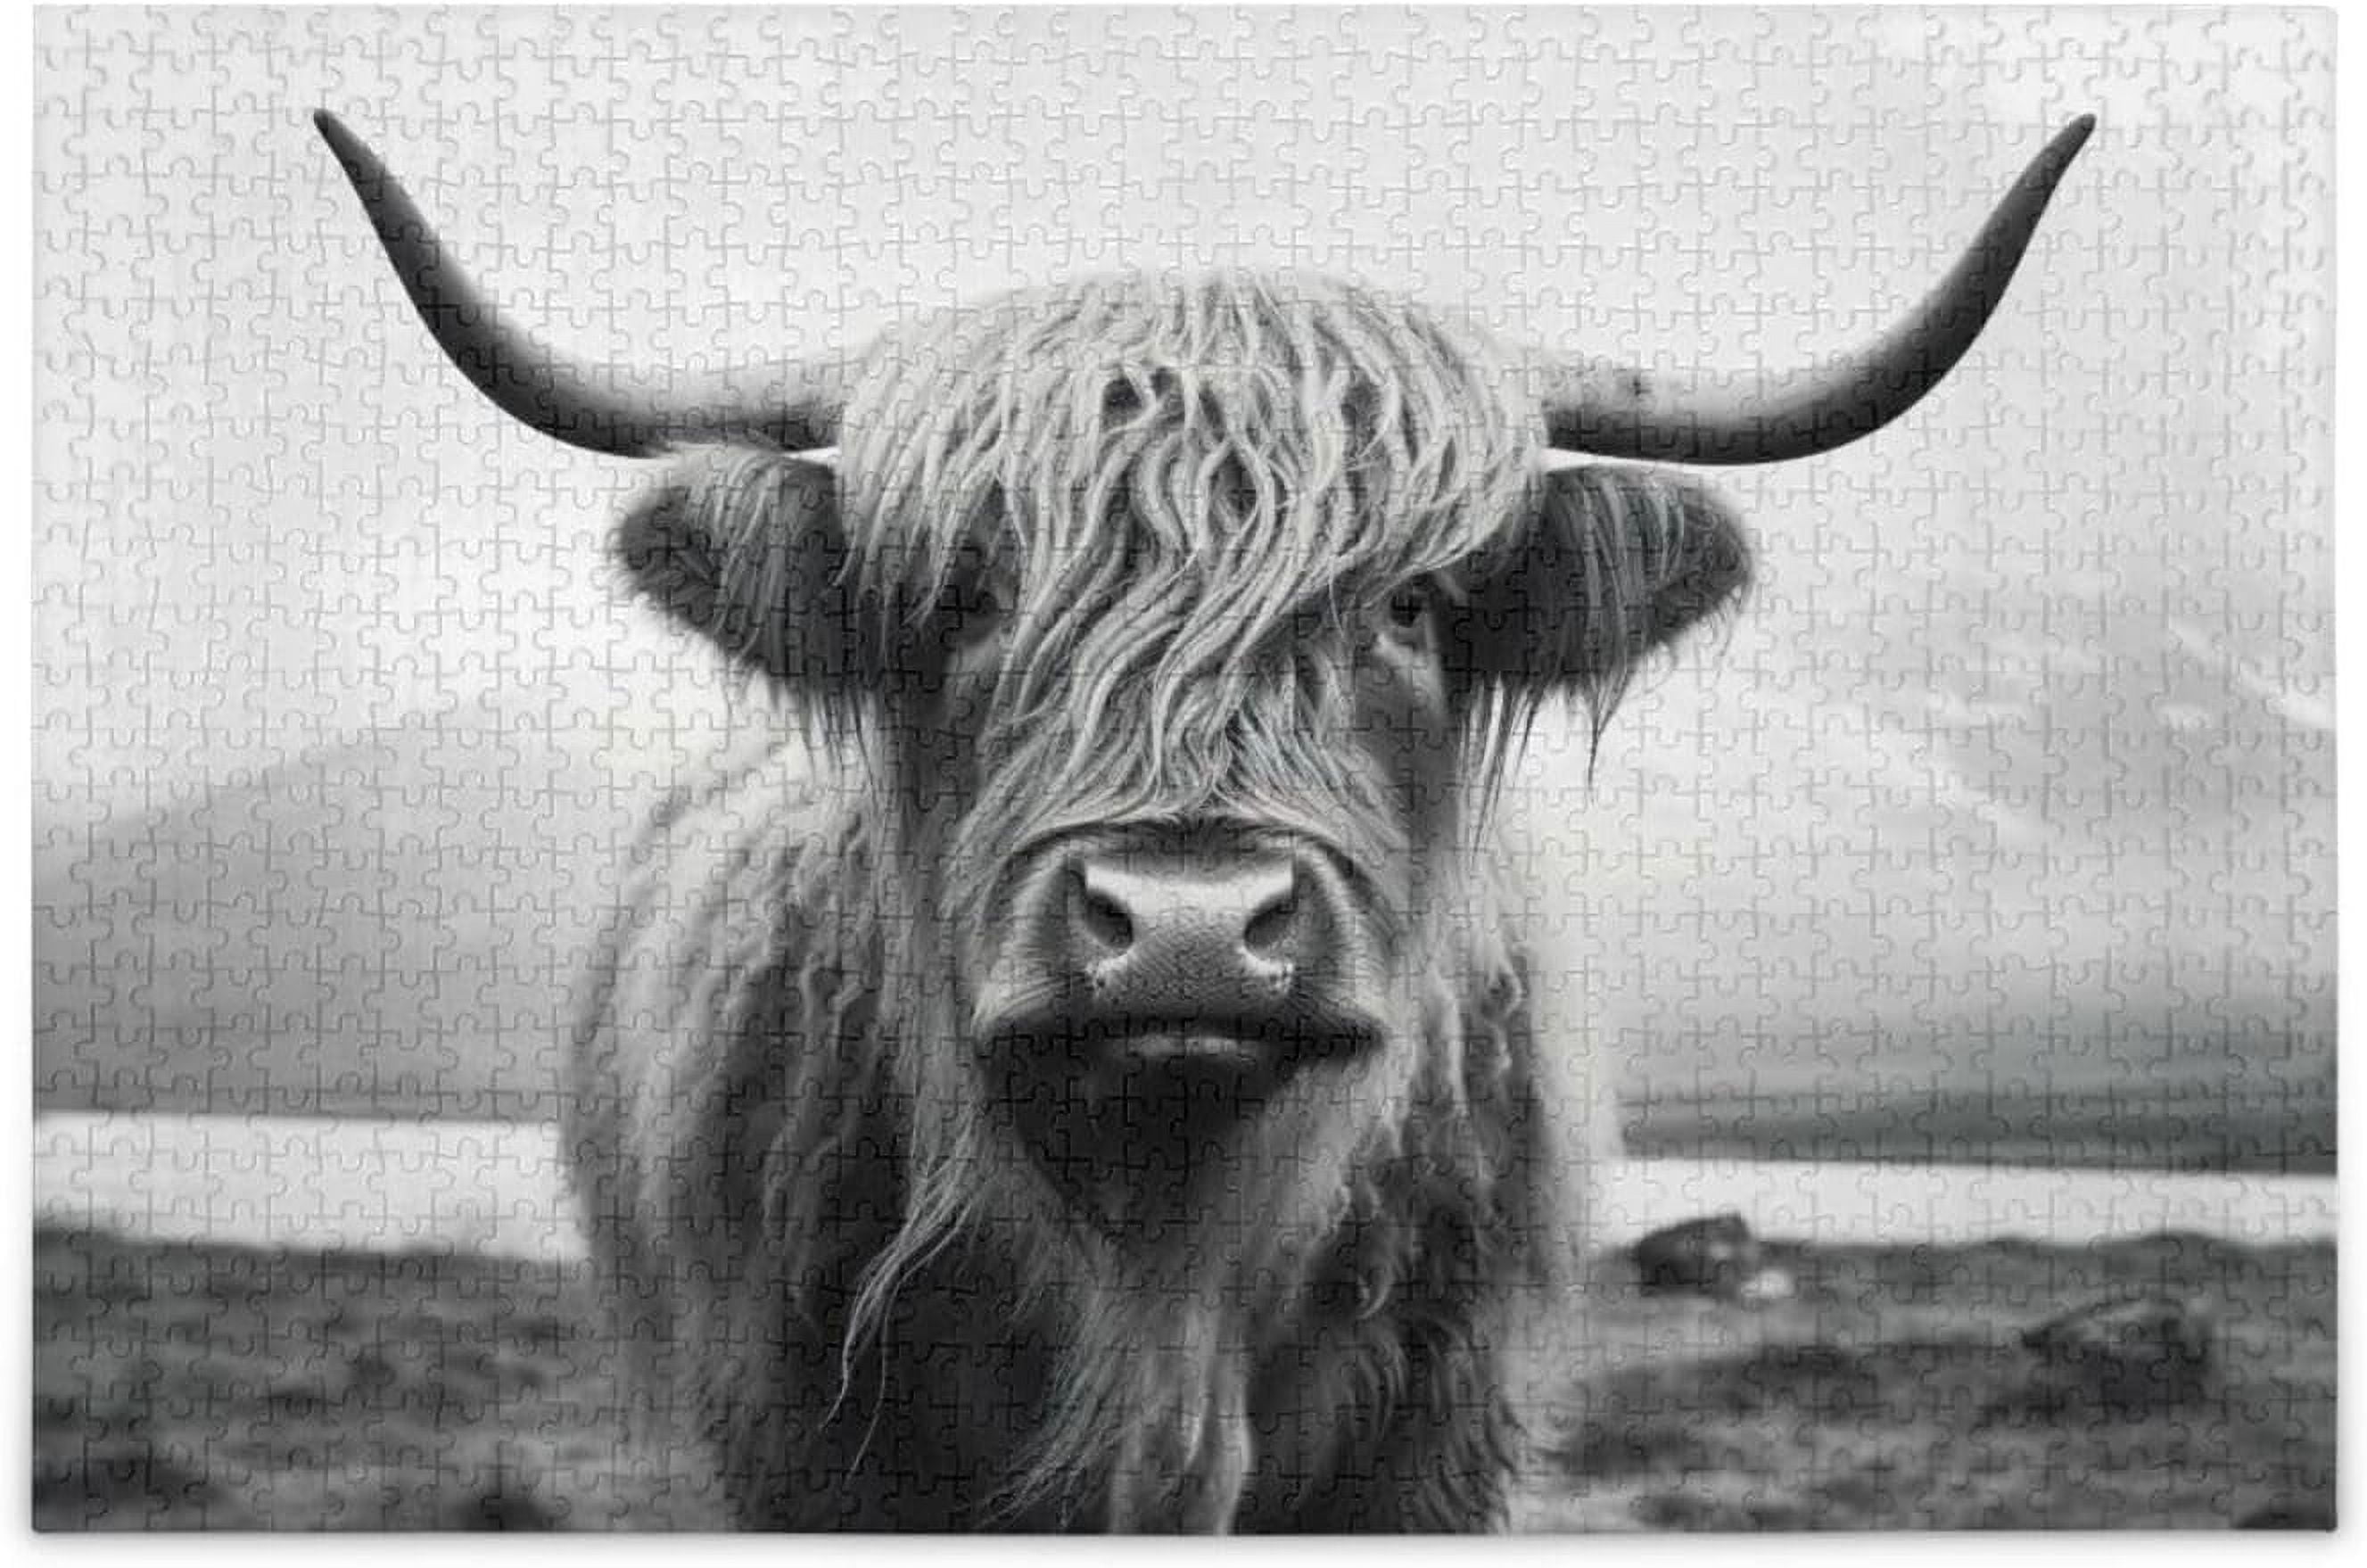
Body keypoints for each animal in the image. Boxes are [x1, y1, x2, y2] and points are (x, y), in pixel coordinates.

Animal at [316, 110, 2092, 1531]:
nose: (1185, 930)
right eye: (966, 598)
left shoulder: (1436, 1442)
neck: (1159, 1265)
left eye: (1412, 607)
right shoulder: (800, 1436)